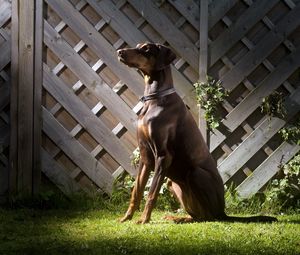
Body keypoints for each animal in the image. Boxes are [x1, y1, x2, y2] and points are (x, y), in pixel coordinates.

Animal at [116, 42, 276, 224]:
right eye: (137, 46)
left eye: (146, 49)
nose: (119, 52)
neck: (154, 99)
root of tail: (223, 212)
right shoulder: (145, 156)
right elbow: (136, 191)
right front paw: (126, 218)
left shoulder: (163, 156)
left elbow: (151, 193)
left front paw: (143, 220)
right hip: (172, 183)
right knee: (198, 216)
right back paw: (176, 217)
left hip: (195, 174)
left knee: (208, 218)